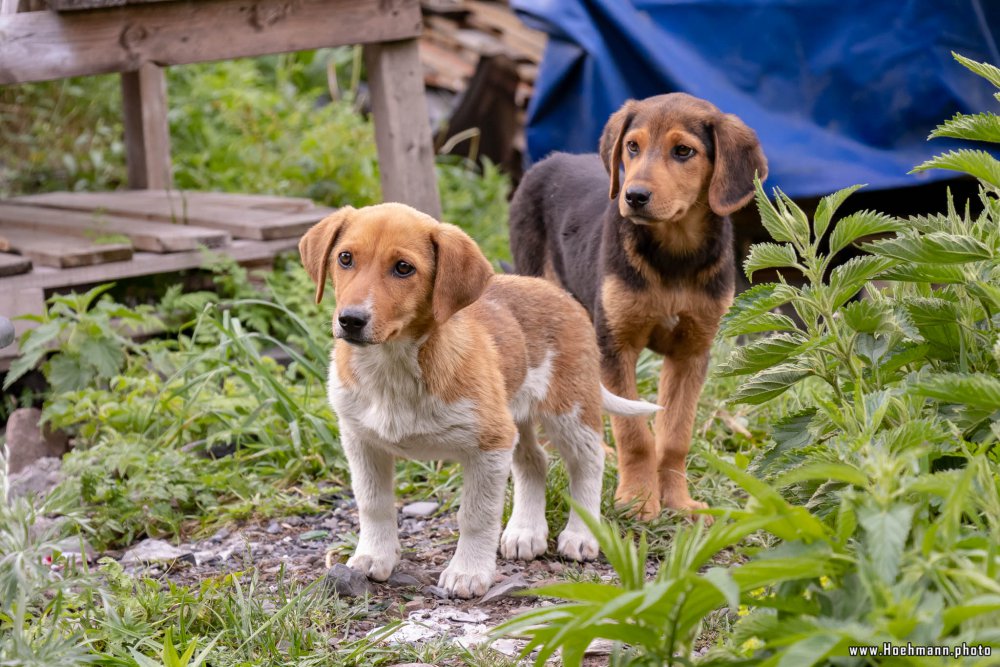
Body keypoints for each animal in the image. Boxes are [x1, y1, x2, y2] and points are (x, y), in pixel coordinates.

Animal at [296, 204, 656, 600]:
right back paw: (526, 532)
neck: (393, 367)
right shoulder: (360, 439)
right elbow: (373, 503)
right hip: (516, 418)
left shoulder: (488, 446)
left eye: (403, 268)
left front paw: (468, 572)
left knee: (588, 464)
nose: (351, 320)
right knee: (535, 461)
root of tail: (558, 293)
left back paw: (580, 535)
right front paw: (374, 555)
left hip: (569, 410)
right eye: (345, 258)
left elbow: (476, 515)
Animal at [512, 94, 768, 520]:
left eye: (683, 151)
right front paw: (636, 500)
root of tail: (548, 160)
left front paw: (678, 501)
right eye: (632, 146)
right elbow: (634, 435)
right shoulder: (617, 345)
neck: (674, 255)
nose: (633, 196)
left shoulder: (692, 351)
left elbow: (675, 435)